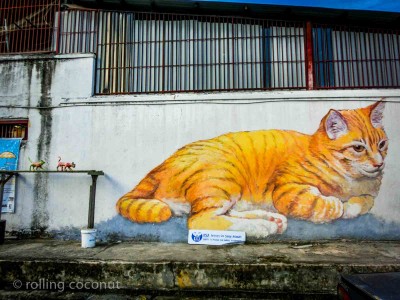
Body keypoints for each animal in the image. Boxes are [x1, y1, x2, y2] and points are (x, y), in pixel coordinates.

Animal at [116, 102, 388, 238]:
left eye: (382, 145)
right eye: (358, 148)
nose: (379, 163)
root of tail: (159, 167)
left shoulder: (369, 193)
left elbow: (365, 202)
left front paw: (352, 205)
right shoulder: (288, 191)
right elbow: (326, 204)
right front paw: (338, 205)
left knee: (224, 213)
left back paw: (268, 220)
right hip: (223, 178)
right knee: (200, 220)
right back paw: (261, 227)